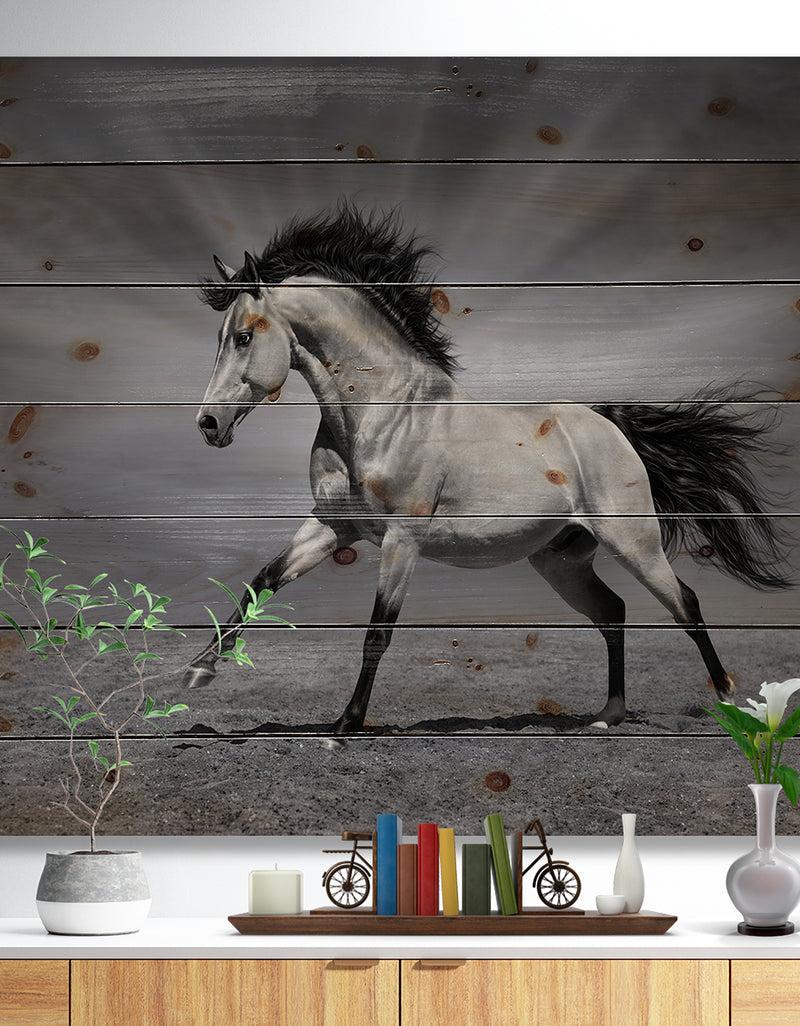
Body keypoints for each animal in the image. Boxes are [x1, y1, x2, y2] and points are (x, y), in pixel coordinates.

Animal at [184, 203, 791, 733]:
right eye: (219, 338)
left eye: (243, 336)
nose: (209, 424)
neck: (382, 411)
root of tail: (609, 425)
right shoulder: (336, 525)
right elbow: (260, 583)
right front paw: (197, 670)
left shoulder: (403, 537)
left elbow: (378, 632)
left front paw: (345, 725)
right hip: (562, 560)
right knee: (612, 611)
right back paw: (607, 716)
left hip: (634, 541)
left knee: (685, 604)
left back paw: (726, 701)